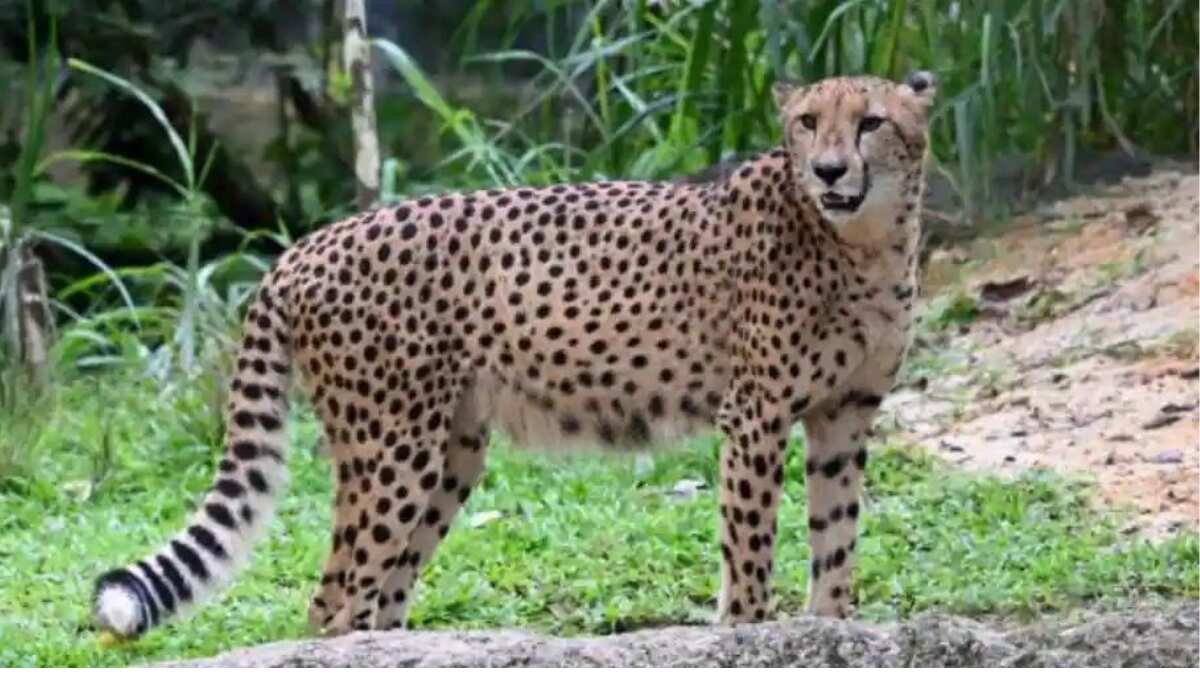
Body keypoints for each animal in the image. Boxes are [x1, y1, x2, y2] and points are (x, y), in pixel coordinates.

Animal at [93, 70, 936, 639]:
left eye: (870, 122)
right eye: (807, 121)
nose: (829, 170)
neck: (862, 243)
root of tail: (307, 243)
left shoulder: (845, 413)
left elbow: (836, 534)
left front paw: (832, 623)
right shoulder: (755, 413)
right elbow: (751, 542)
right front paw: (750, 629)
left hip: (451, 449)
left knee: (379, 593)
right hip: (392, 449)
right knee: (334, 598)